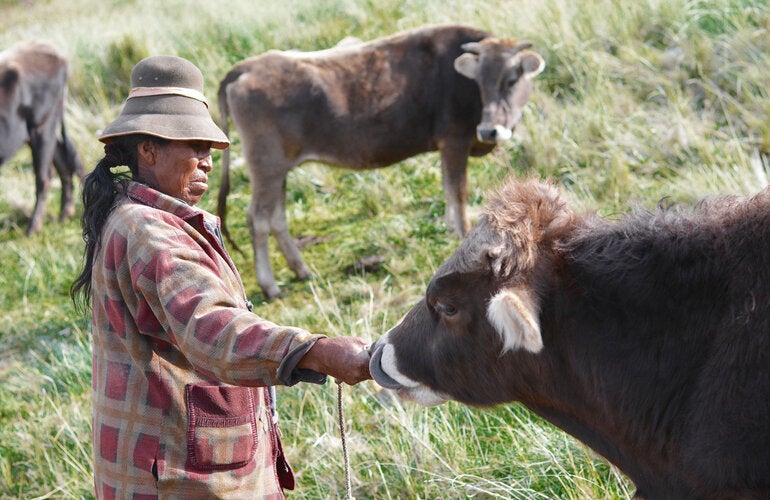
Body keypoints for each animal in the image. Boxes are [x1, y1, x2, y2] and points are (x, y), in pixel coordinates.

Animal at [0, 40, 84, 235]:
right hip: (43, 130)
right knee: (62, 164)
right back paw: (65, 213)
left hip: (42, 126)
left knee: (44, 178)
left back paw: (33, 227)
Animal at [217, 24, 545, 300]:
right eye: (479, 82)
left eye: (511, 80)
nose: (489, 130)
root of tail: (247, 66)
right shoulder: (454, 140)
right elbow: (458, 191)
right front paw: (464, 235)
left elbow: (448, 189)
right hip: (266, 165)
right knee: (258, 219)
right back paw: (270, 286)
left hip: (279, 169)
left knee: (277, 218)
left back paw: (301, 270)